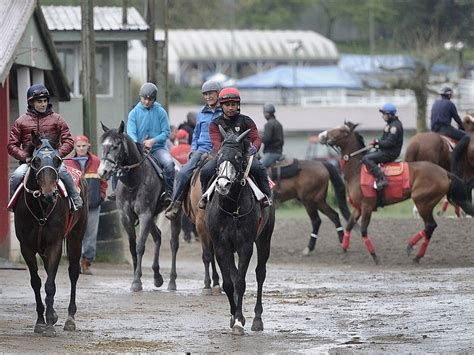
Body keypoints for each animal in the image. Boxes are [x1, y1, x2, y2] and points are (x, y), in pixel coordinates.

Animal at [11, 132, 88, 338]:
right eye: (35, 161)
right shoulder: (27, 246)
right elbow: (36, 282)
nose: (49, 194)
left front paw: (50, 326)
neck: (41, 209)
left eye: (57, 160)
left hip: (76, 236)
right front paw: (42, 321)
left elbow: (50, 284)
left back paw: (70, 319)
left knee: (73, 272)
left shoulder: (55, 243)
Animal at [97, 121, 181, 294]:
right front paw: (138, 277)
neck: (134, 181)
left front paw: (136, 282)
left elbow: (140, 246)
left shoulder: (145, 215)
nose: (103, 171)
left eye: (116, 146)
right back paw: (157, 277)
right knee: (157, 236)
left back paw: (172, 282)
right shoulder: (126, 217)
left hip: (174, 215)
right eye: (103, 145)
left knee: (173, 244)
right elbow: (132, 246)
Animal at [206, 127, 276, 336]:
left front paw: (238, 321)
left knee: (260, 273)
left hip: (264, 239)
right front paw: (234, 317)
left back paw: (257, 319)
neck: (232, 207)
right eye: (220, 156)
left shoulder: (246, 245)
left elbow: (241, 282)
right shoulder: (221, 245)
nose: (222, 185)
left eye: (238, 157)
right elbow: (229, 283)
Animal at [318, 122, 474, 264]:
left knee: (430, 226)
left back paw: (413, 249)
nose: (322, 135)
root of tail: (444, 172)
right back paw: (415, 253)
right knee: (430, 227)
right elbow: (349, 226)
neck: (357, 170)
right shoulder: (358, 208)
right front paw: (344, 250)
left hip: (423, 202)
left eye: (341, 130)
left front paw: (374, 256)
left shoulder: (367, 206)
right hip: (425, 203)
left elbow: (363, 230)